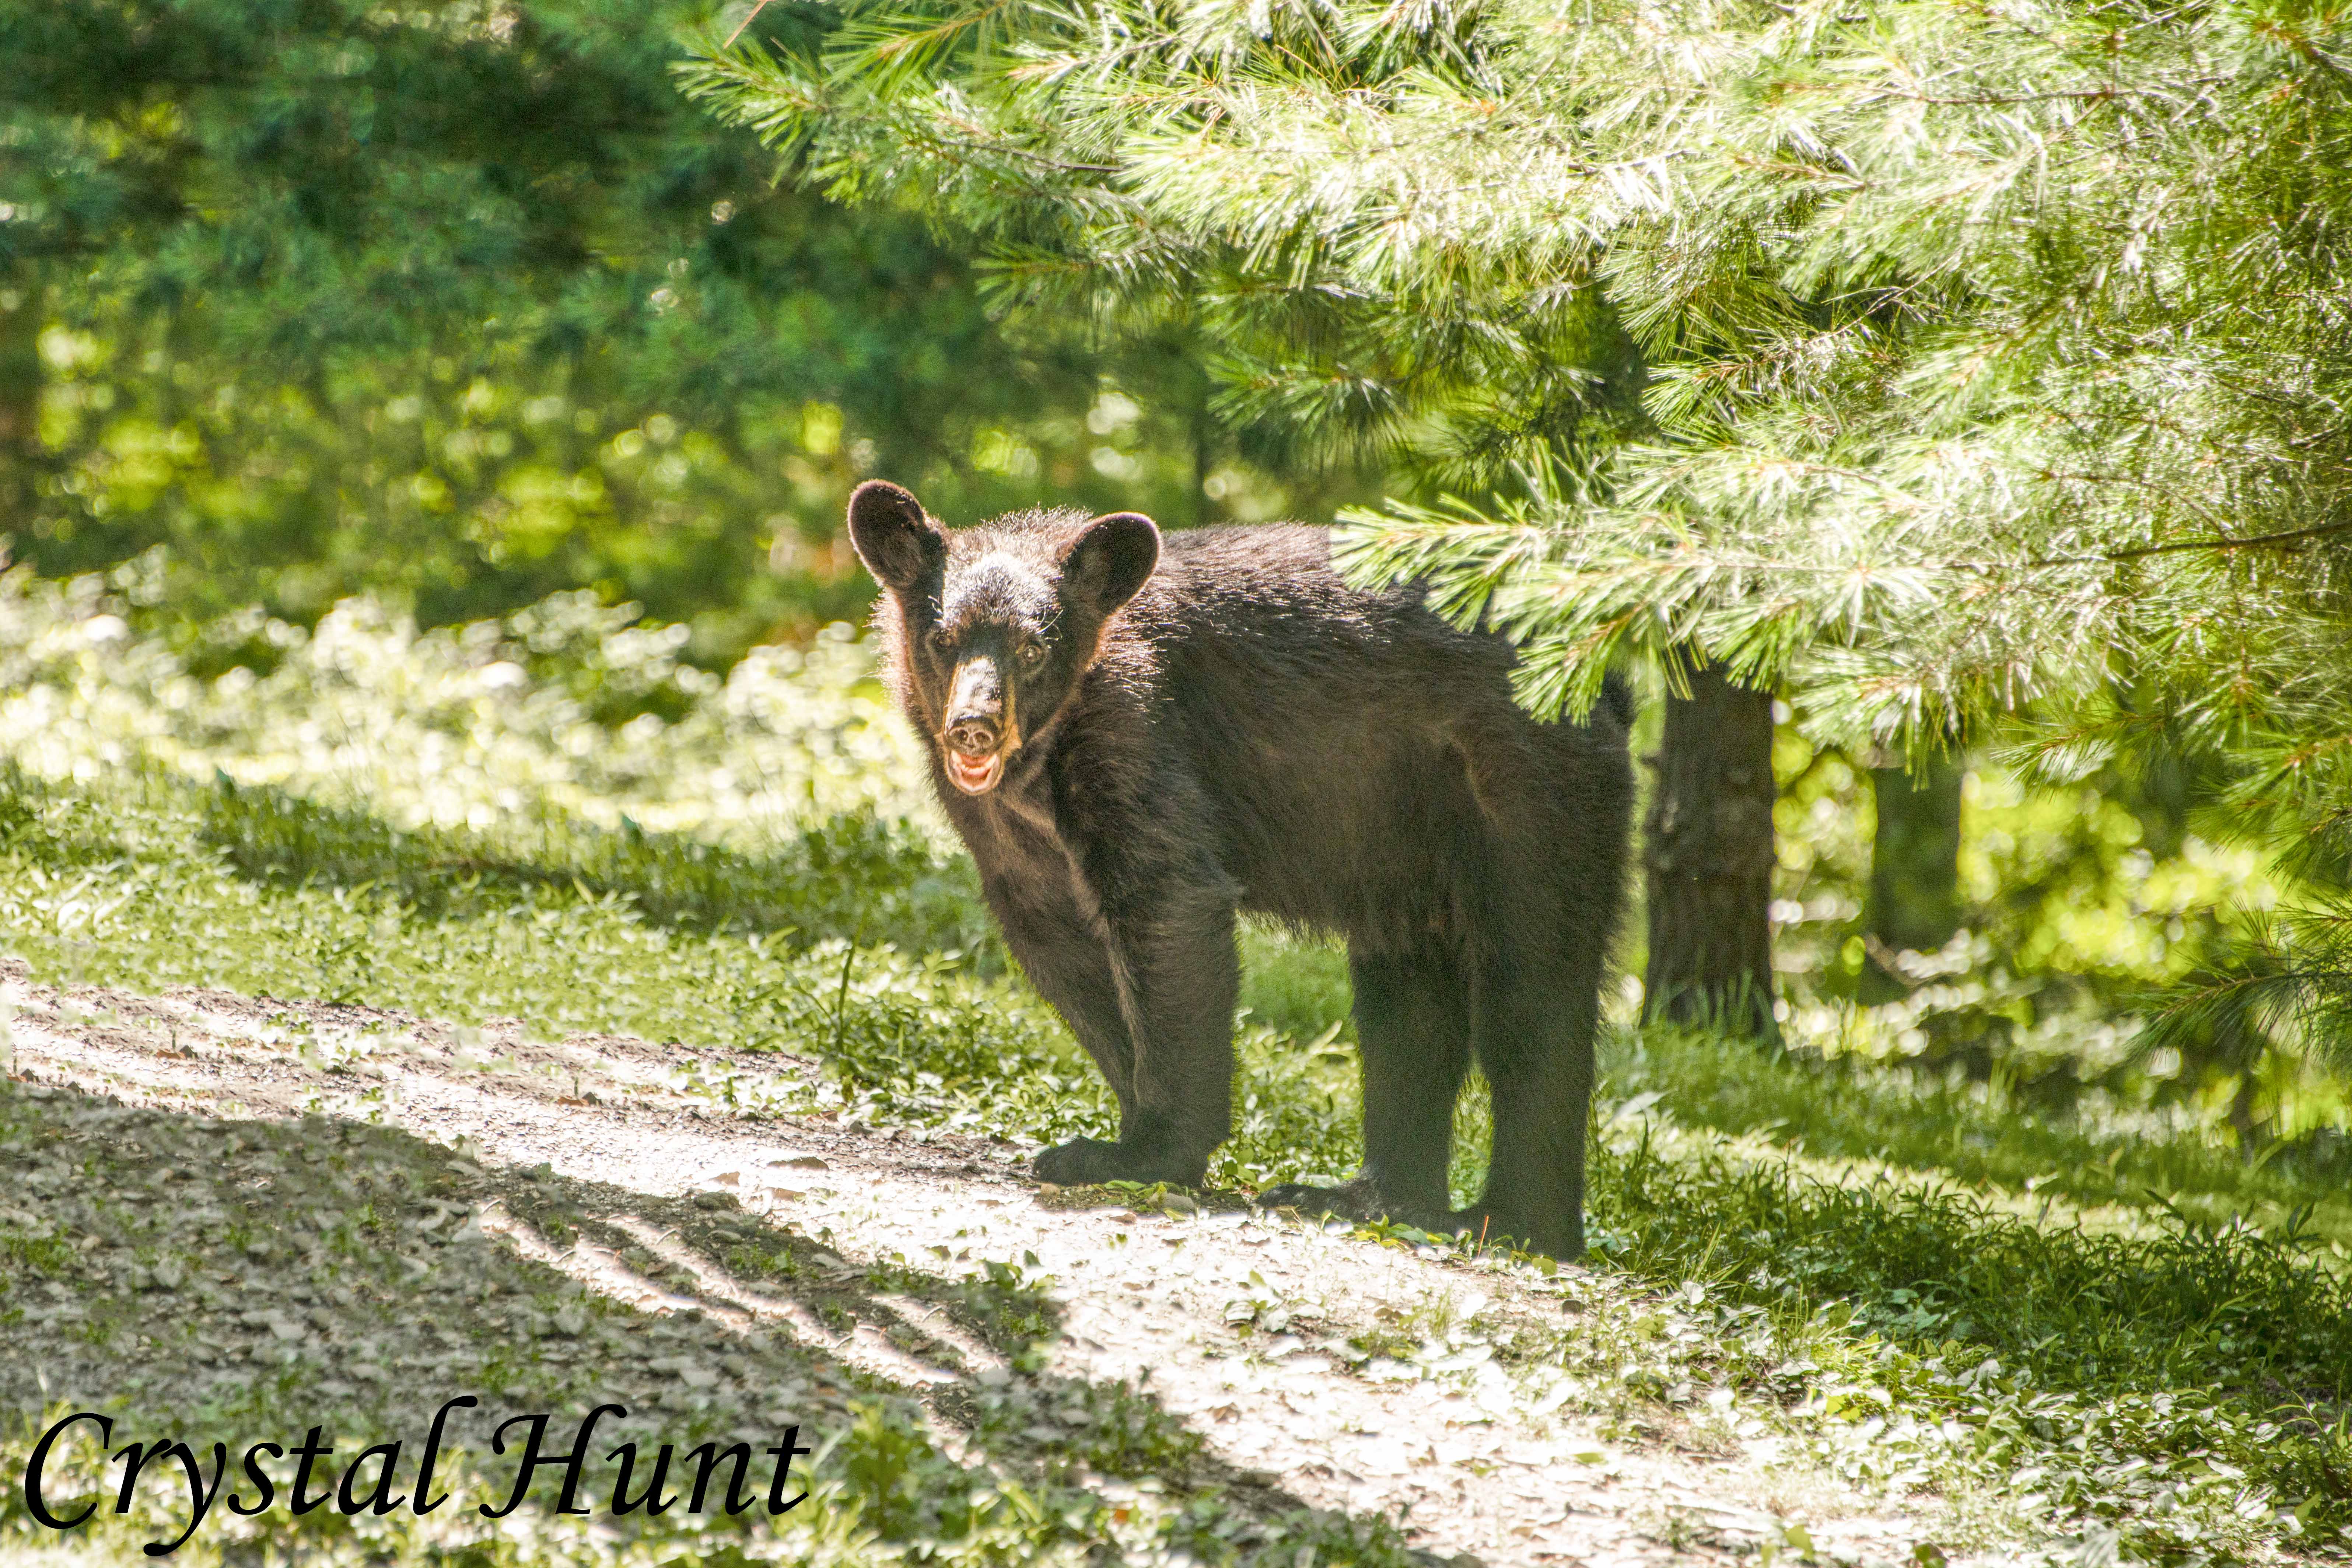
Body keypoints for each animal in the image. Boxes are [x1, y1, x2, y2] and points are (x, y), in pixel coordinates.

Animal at [847, 479, 1637, 1260]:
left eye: (1033, 647)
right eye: (942, 639)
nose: (973, 727)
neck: (1040, 764)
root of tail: (1605, 679)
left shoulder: (1141, 727)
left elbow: (1168, 902)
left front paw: (1141, 1152)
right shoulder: (1006, 833)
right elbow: (1062, 946)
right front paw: (1126, 1126)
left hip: (1525, 784)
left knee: (1532, 988)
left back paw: (1512, 1222)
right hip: (1404, 835)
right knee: (1405, 1002)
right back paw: (1364, 1196)